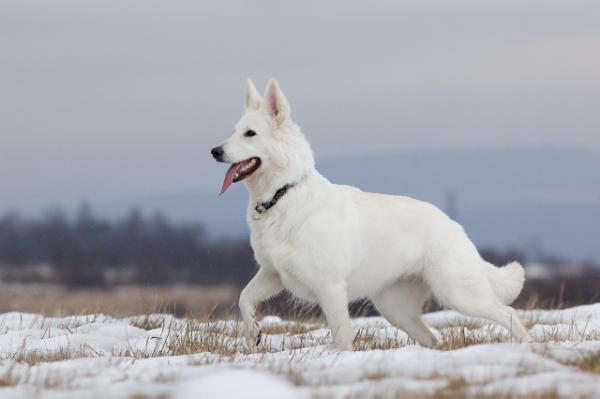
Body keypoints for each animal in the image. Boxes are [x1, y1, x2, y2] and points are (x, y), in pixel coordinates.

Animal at [212, 79, 528, 354]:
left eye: (250, 134)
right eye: (233, 131)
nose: (214, 151)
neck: (283, 193)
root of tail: (454, 224)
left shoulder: (331, 288)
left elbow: (341, 336)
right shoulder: (273, 273)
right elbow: (244, 297)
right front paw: (253, 334)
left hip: (458, 293)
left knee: (509, 313)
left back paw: (528, 346)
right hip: (396, 309)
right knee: (431, 337)